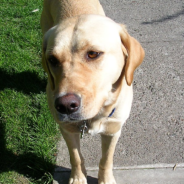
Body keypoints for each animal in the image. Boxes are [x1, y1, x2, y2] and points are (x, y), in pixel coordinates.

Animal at [41, 0, 144, 184]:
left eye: (93, 54)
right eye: (52, 59)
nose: (65, 106)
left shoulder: (113, 130)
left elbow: (106, 159)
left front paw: (106, 179)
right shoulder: (67, 129)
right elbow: (75, 157)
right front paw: (77, 178)